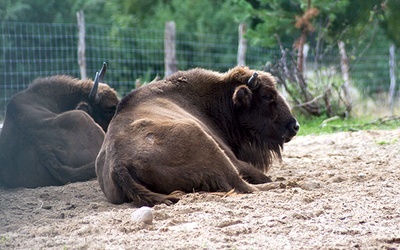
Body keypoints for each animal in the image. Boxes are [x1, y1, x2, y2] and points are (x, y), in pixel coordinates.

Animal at [96, 66, 296, 207]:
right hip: (203, 140)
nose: (295, 126)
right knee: (242, 184)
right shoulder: (235, 160)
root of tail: (119, 164)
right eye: (267, 96)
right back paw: (282, 184)